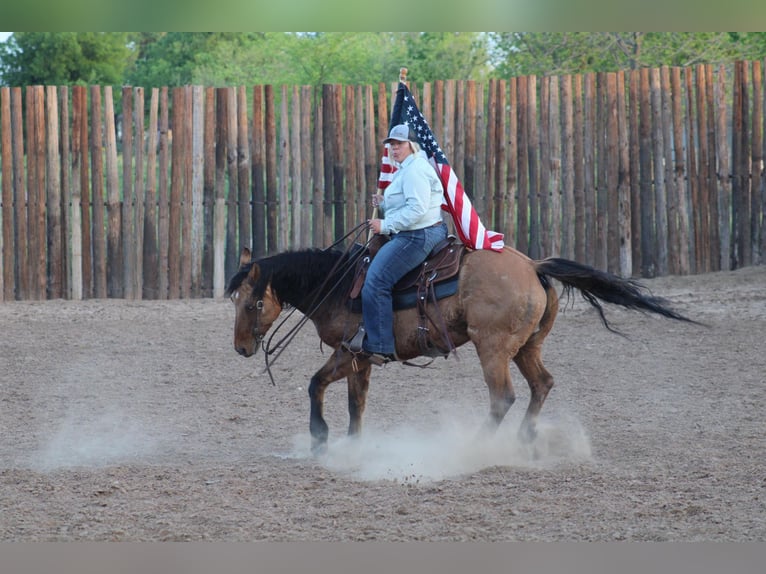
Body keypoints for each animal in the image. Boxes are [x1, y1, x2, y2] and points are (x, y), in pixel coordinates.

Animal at [226, 240, 696, 454]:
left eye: (253, 302)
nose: (241, 348)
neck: (341, 284)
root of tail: (533, 266)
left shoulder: (349, 352)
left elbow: (315, 384)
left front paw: (320, 438)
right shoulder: (362, 359)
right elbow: (355, 404)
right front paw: (353, 446)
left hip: (493, 349)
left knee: (503, 397)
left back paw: (475, 446)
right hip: (525, 348)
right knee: (542, 384)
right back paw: (525, 438)